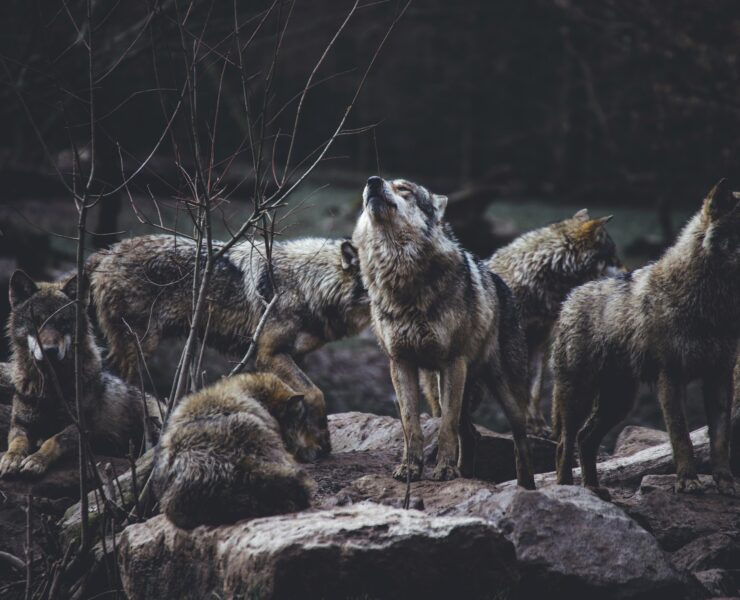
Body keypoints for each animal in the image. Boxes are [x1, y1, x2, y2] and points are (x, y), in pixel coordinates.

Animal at [0, 270, 164, 478]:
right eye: (36, 321)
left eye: (63, 322)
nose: (50, 350)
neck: (52, 387)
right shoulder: (20, 424)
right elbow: (17, 442)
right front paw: (11, 458)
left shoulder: (81, 428)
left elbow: (53, 440)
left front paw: (36, 460)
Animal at [87, 235, 369, 459]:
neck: (308, 284)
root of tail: (107, 251)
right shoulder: (269, 354)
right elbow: (315, 393)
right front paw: (321, 442)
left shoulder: (296, 356)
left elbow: (301, 400)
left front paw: (309, 445)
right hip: (140, 349)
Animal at [352, 176, 535, 486]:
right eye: (379, 182)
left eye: (404, 188)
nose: (372, 181)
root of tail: (502, 284)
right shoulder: (400, 363)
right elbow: (411, 425)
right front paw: (410, 469)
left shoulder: (452, 362)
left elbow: (446, 427)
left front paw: (445, 470)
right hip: (440, 386)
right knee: (472, 434)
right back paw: (467, 474)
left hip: (505, 393)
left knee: (520, 443)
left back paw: (526, 487)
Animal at [552, 179, 740, 497]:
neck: (711, 305)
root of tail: (569, 297)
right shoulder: (671, 377)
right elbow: (681, 437)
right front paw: (688, 481)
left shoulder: (720, 376)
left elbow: (721, 439)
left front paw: (726, 483)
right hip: (580, 396)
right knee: (565, 443)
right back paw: (569, 490)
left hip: (619, 402)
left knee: (585, 438)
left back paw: (594, 489)